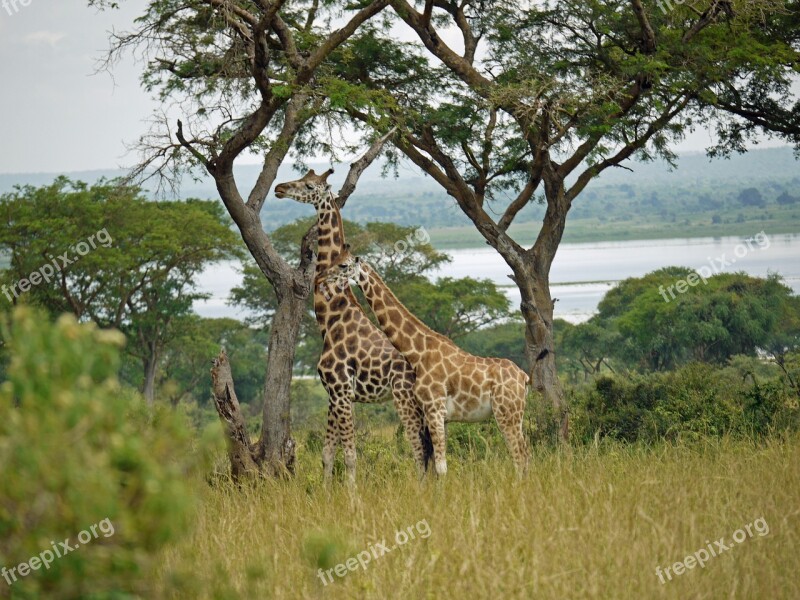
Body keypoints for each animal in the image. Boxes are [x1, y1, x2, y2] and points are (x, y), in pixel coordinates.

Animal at [272, 169, 432, 482]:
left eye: (309, 185)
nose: (279, 188)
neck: (332, 315)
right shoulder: (333, 393)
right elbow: (326, 453)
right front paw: (326, 491)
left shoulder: (342, 389)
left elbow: (349, 455)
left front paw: (352, 494)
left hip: (405, 399)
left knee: (420, 449)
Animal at [322, 248, 536, 474]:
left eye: (343, 265)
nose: (323, 278)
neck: (418, 352)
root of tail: (524, 377)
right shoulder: (440, 415)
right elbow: (434, 464)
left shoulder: (434, 409)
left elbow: (440, 466)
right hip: (516, 414)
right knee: (525, 454)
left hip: (506, 413)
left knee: (519, 456)